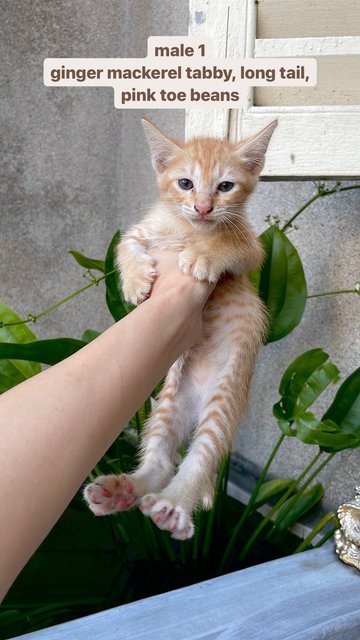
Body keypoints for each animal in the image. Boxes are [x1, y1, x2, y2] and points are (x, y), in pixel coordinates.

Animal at [83, 117, 276, 536]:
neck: (187, 227)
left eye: (225, 187)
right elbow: (126, 245)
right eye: (185, 183)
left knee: (199, 459)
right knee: (160, 462)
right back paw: (124, 489)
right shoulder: (143, 230)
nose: (203, 207)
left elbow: (227, 242)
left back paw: (173, 505)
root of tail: (198, 402)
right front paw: (135, 281)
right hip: (168, 401)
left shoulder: (252, 249)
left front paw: (204, 255)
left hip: (223, 401)